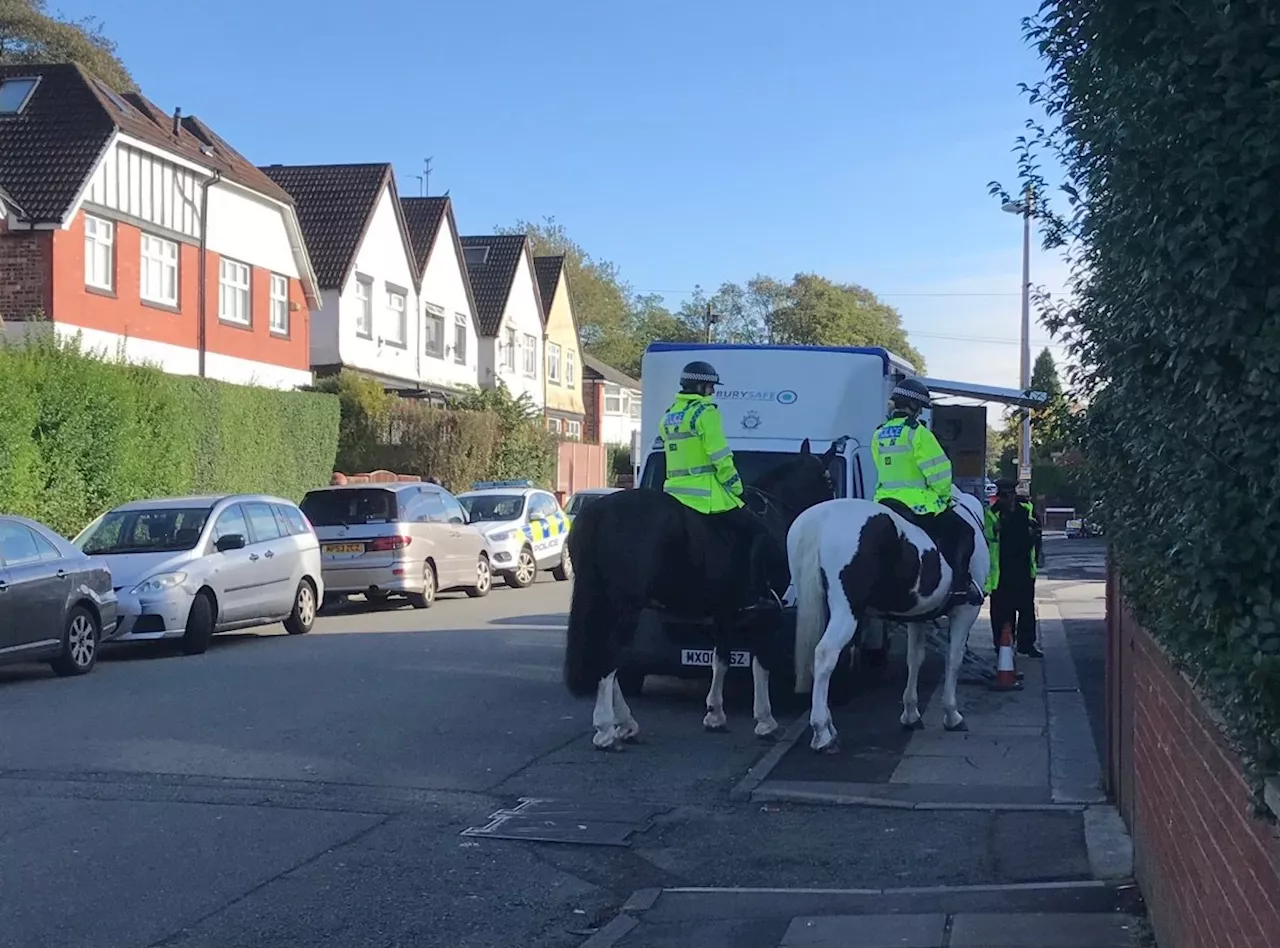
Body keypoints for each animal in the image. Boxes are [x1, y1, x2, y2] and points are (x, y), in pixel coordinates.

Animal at [563, 440, 839, 752]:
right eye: (829, 480)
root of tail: (600, 512)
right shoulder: (764, 612)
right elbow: (761, 663)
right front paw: (765, 720)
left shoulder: (725, 611)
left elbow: (721, 660)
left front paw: (715, 714)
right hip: (624, 608)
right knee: (610, 659)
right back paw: (607, 729)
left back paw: (625, 724)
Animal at [778, 483, 988, 752]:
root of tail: (821, 520)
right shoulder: (965, 612)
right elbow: (954, 659)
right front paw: (952, 715)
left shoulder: (918, 616)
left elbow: (914, 659)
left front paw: (911, 713)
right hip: (846, 612)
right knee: (825, 655)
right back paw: (821, 732)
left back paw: (829, 727)